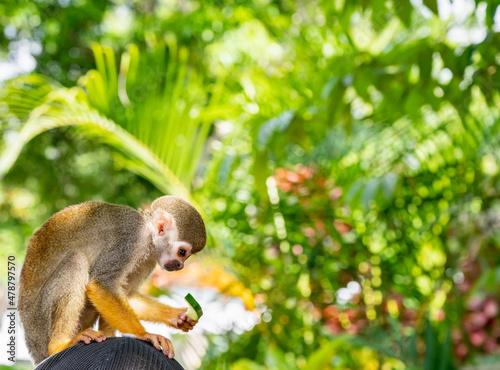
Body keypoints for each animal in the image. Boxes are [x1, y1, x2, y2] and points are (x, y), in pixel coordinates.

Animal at [17, 197, 205, 364]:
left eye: (185, 256)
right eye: (182, 252)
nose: (180, 265)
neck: (148, 233)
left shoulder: (148, 258)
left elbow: (126, 294)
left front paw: (178, 317)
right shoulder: (132, 241)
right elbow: (101, 285)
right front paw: (144, 335)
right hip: (41, 322)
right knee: (76, 260)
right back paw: (60, 344)